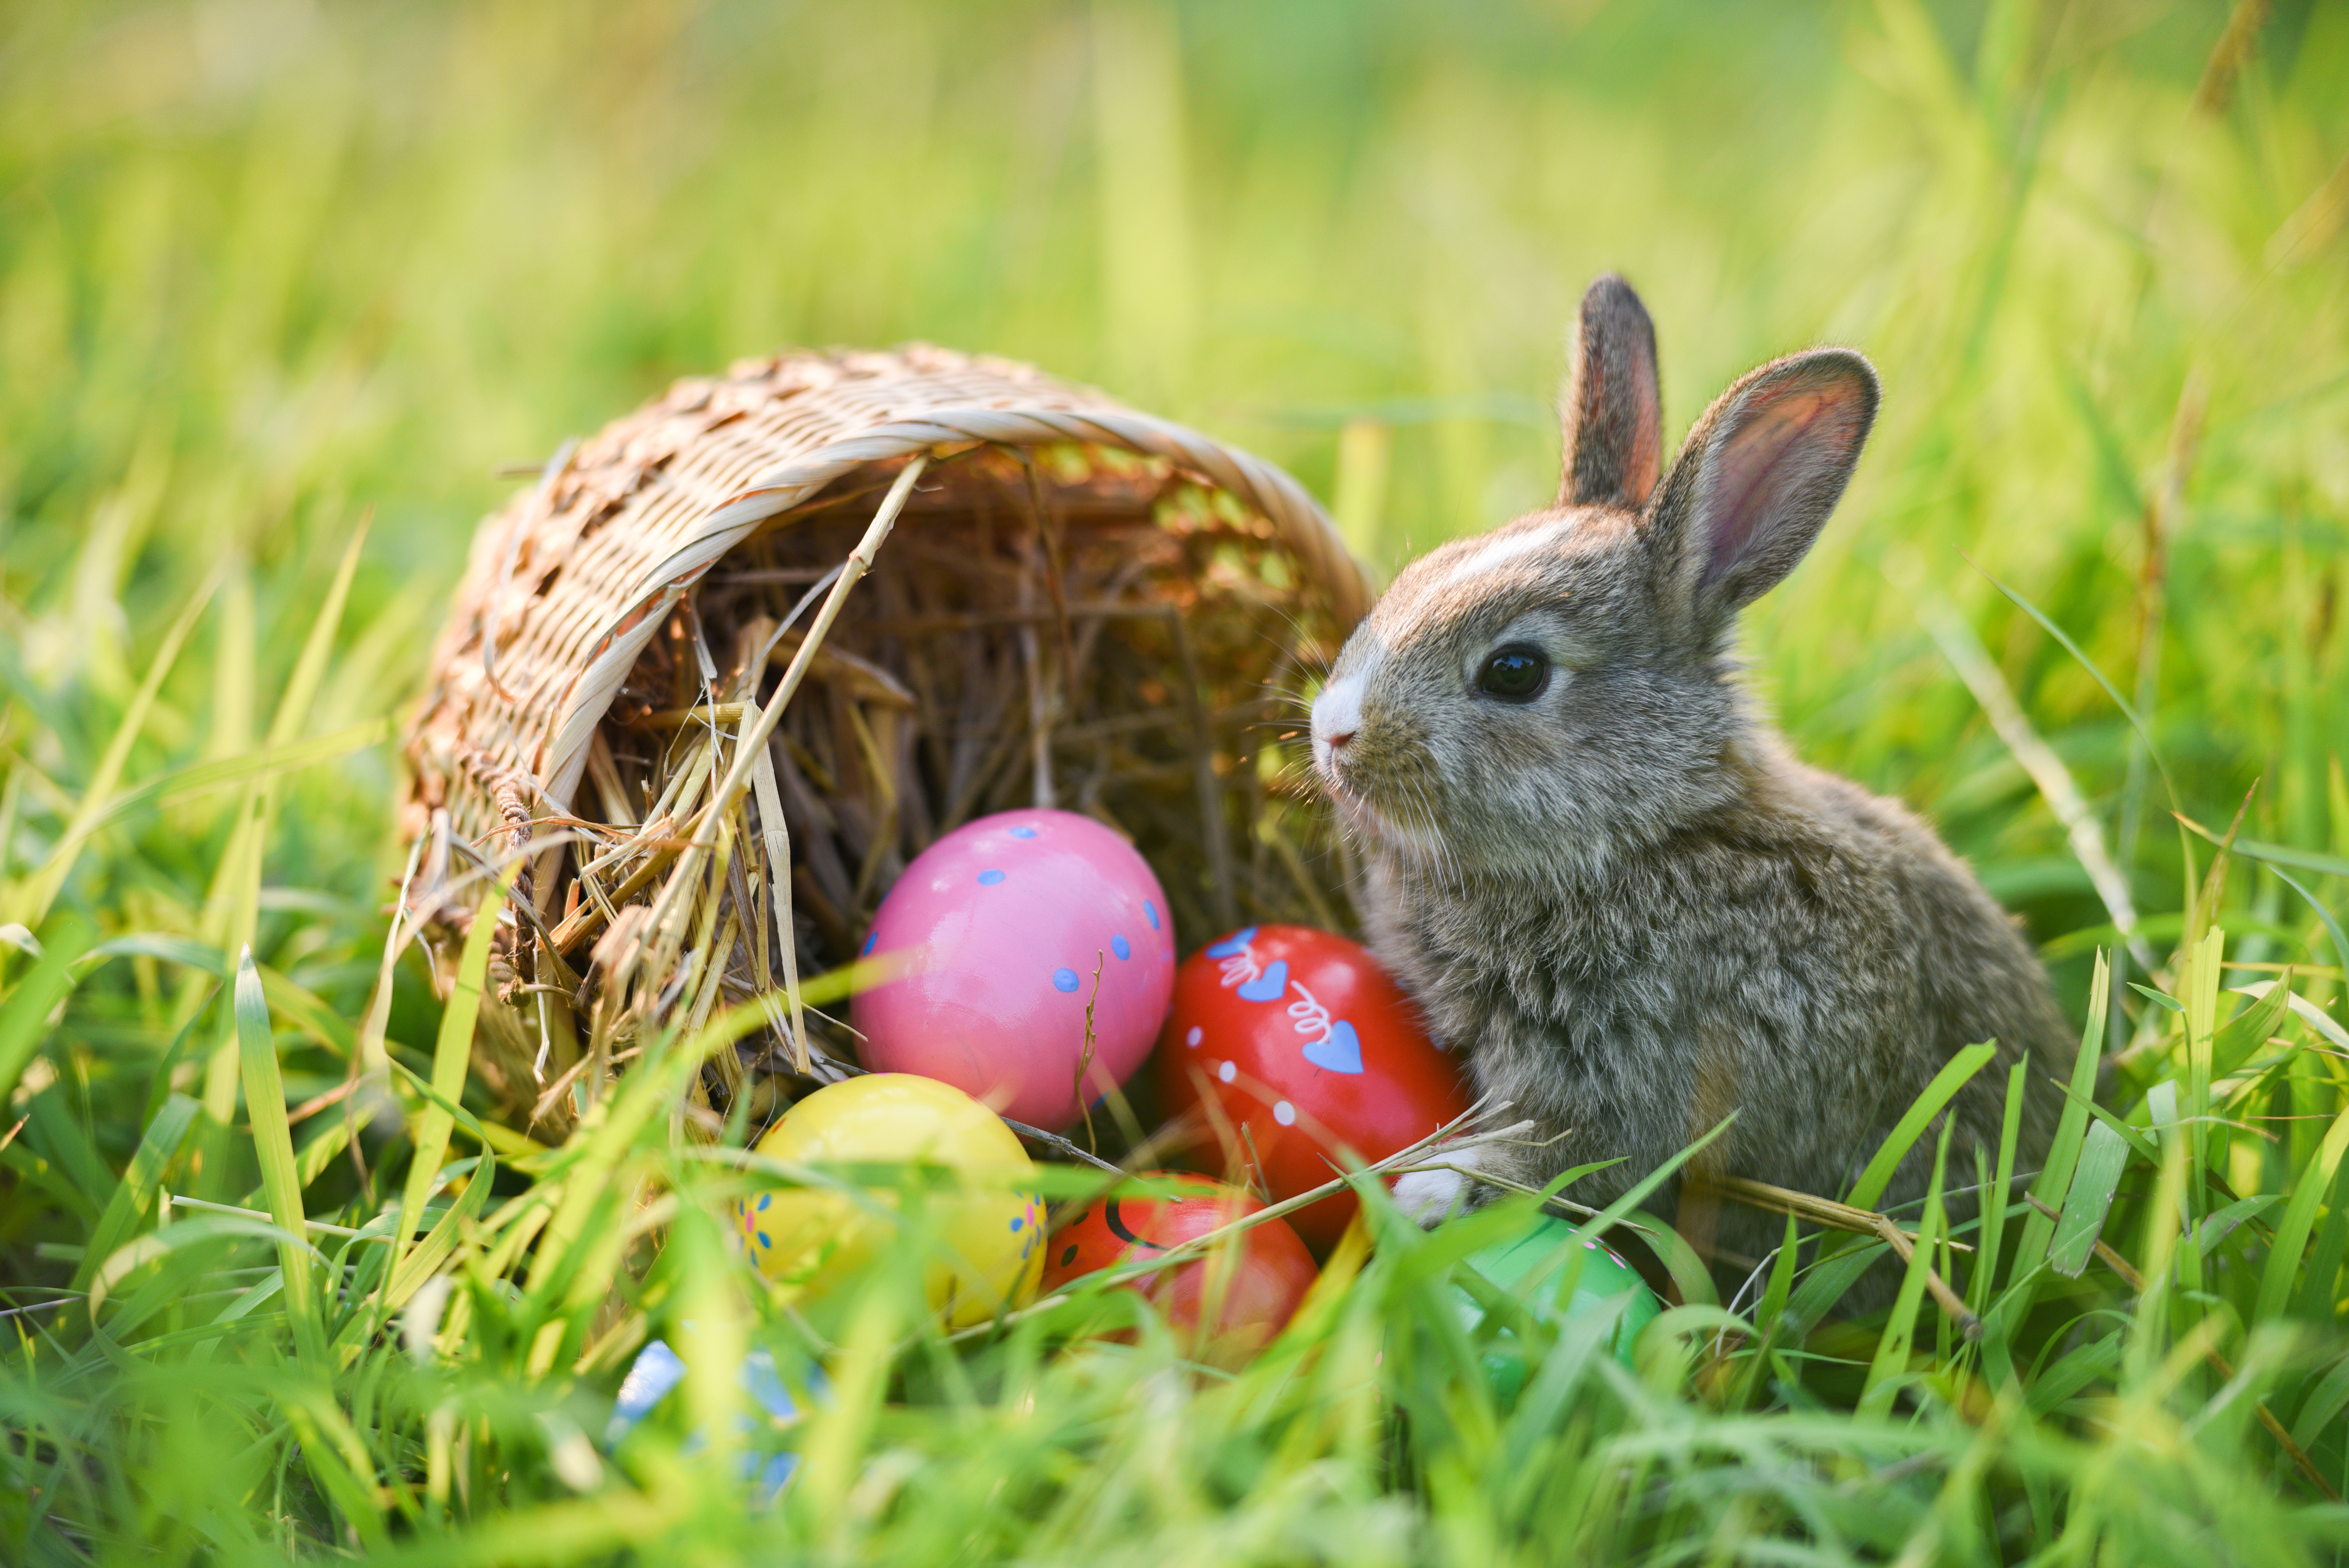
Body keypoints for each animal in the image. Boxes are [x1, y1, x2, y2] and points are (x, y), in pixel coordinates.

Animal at [1310, 274, 2070, 1307]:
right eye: (1410, 579)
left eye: (1514, 671)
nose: (1332, 730)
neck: (1646, 831)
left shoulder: (1630, 1083)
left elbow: (1571, 1155)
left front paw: (1430, 1191)